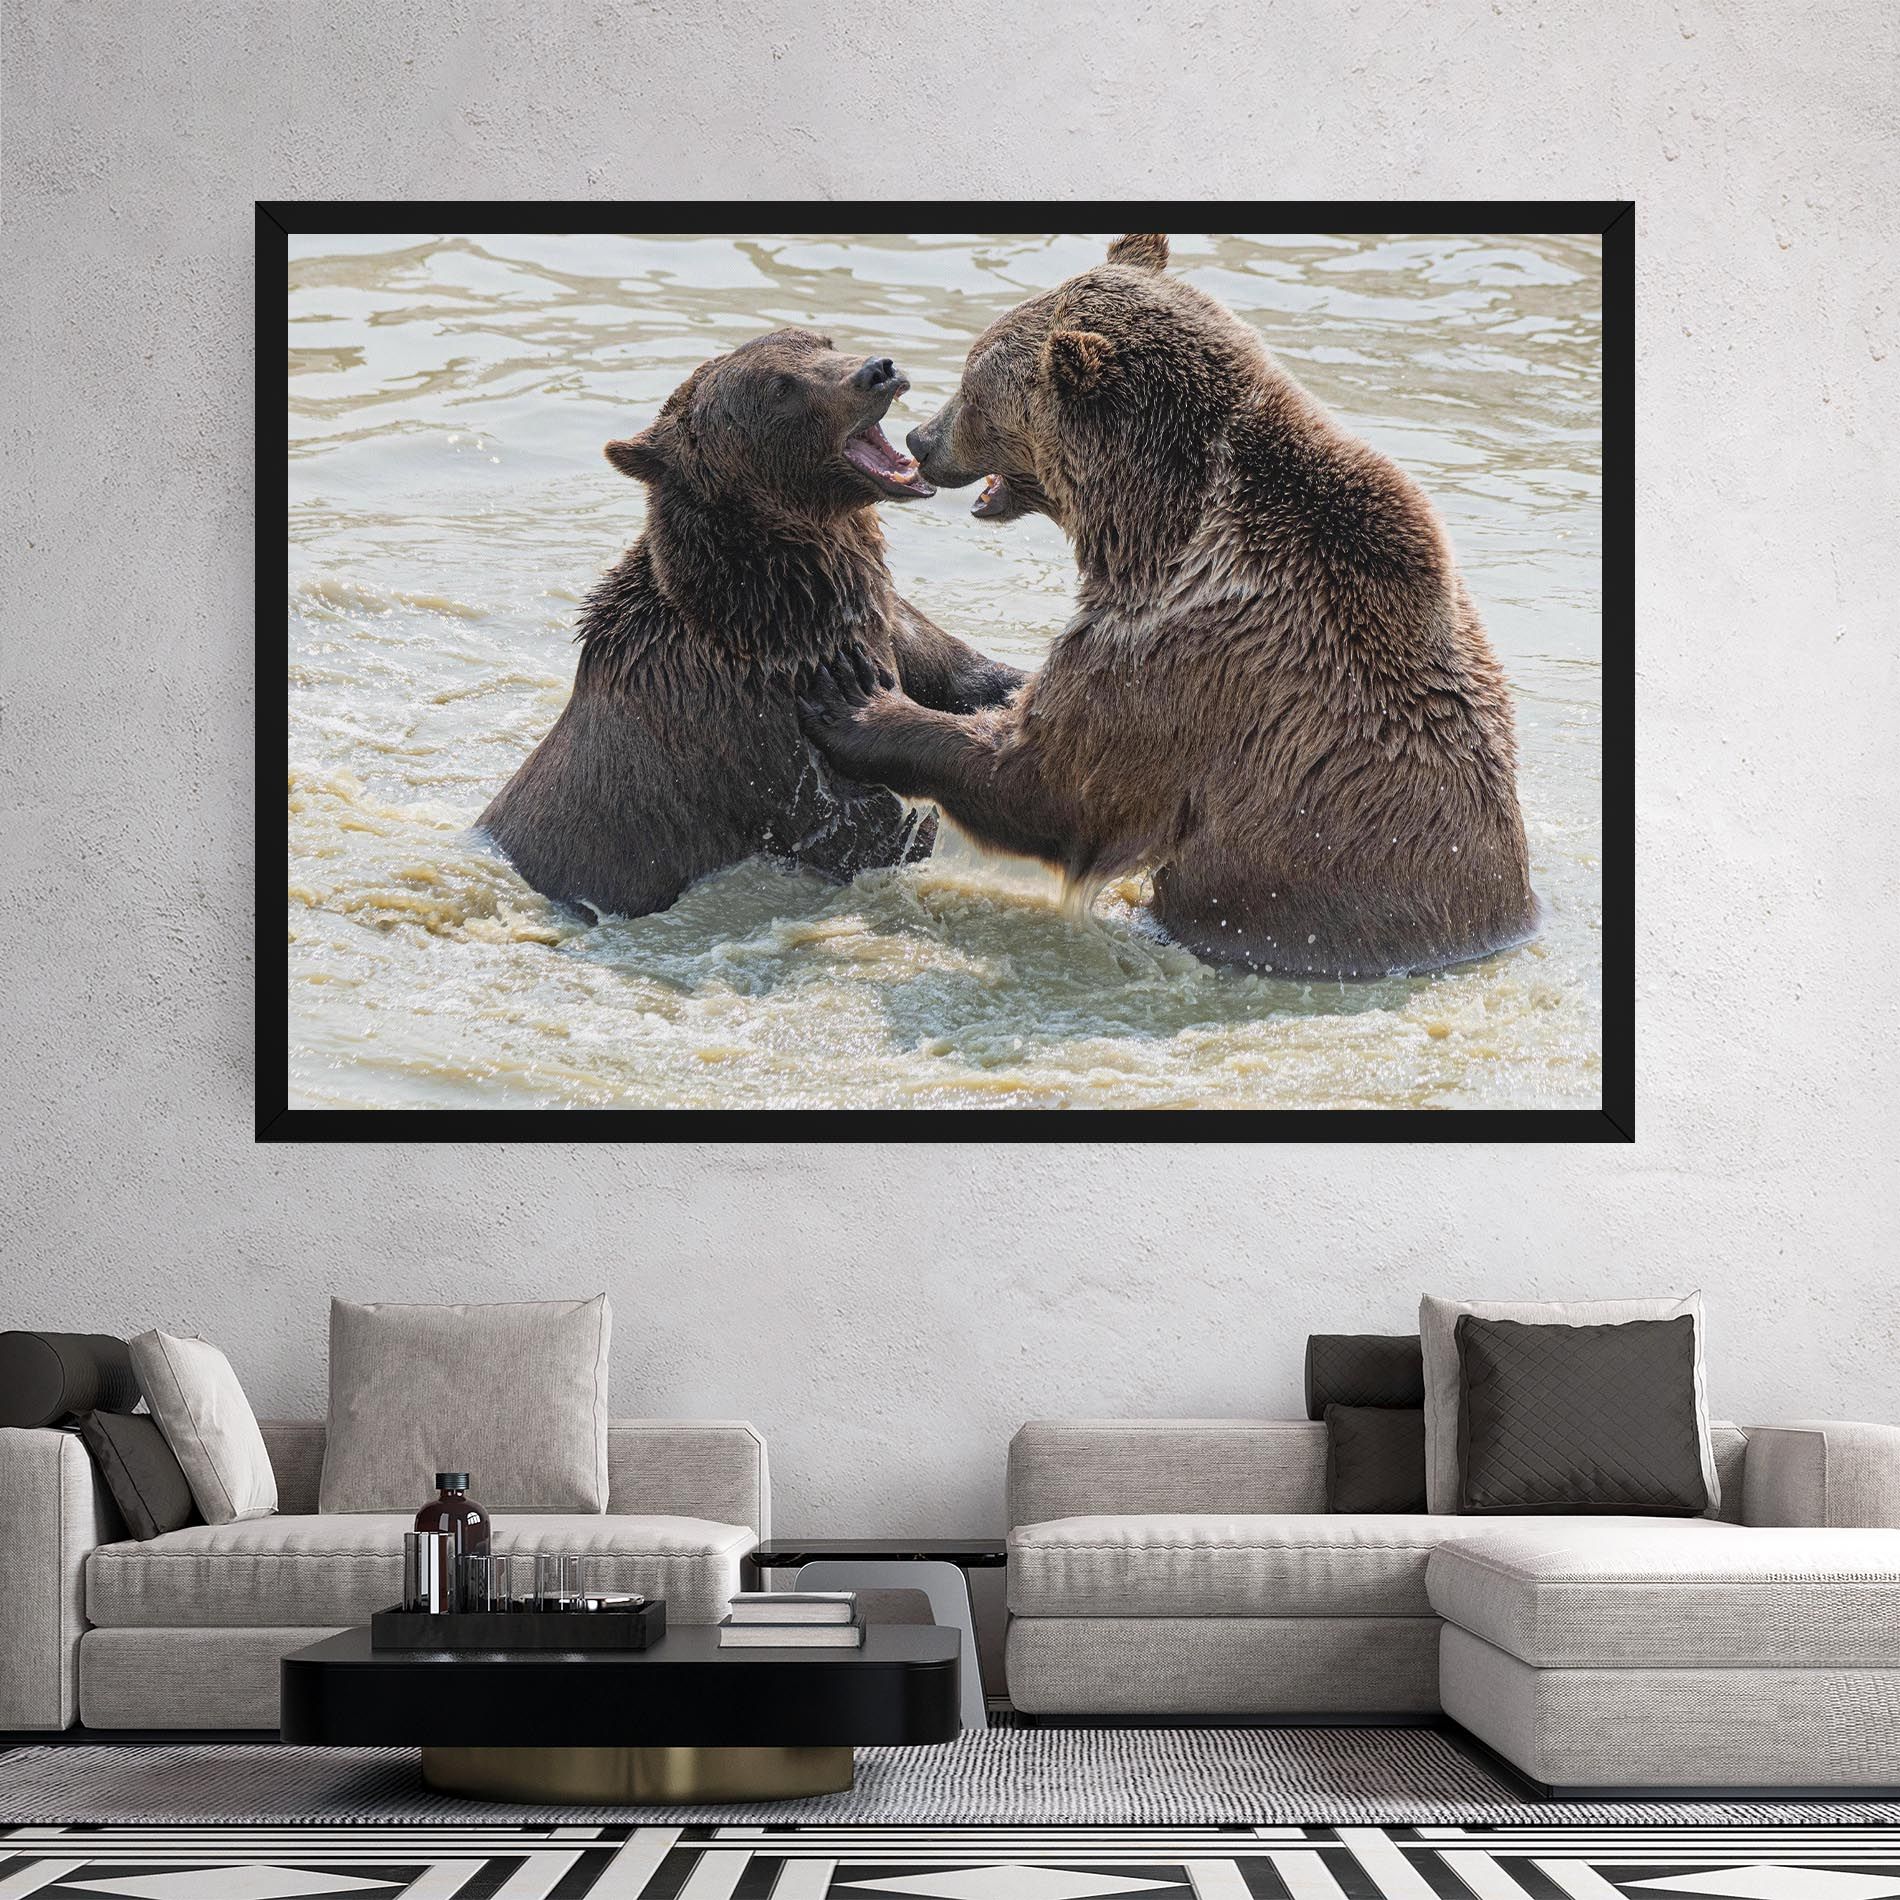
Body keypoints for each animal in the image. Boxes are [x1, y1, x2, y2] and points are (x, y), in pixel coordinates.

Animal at [478, 328, 1025, 921]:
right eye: (780, 388)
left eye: (821, 341)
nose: (878, 370)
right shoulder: (756, 729)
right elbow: (864, 827)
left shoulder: (887, 621)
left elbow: (966, 674)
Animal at [796, 234, 1539, 980]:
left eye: (974, 386)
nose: (922, 439)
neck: (1153, 528)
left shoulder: (1182, 656)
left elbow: (1050, 781)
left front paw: (857, 703)